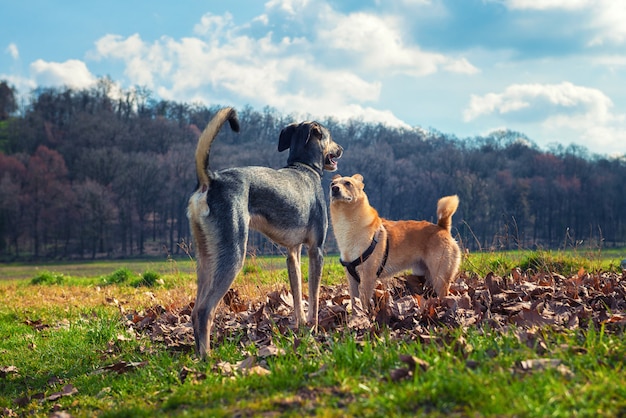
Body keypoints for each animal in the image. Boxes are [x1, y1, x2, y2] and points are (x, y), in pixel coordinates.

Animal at [186, 106, 342, 358]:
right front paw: (314, 328)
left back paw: (199, 354)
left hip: (206, 260)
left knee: (195, 310)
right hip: (232, 255)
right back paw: (208, 358)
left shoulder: (293, 253)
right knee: (204, 311)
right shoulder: (316, 251)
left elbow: (298, 294)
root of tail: (211, 180)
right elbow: (314, 296)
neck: (304, 167)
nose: (341, 149)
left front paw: (300, 326)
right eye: (330, 137)